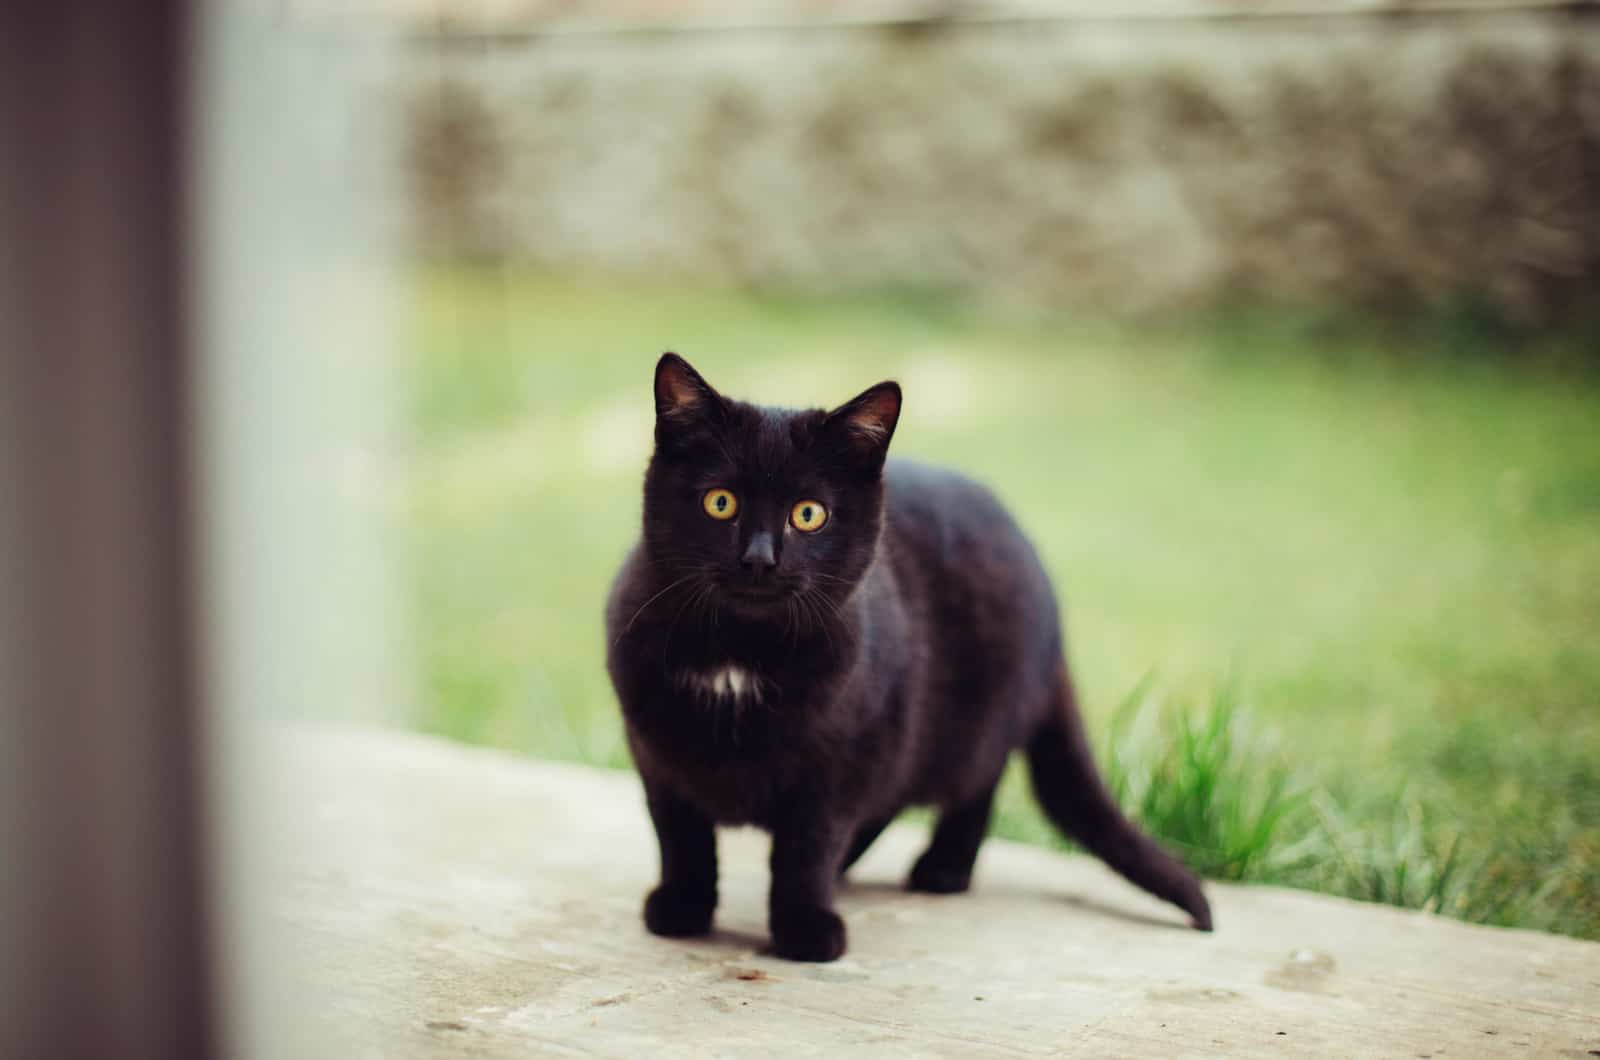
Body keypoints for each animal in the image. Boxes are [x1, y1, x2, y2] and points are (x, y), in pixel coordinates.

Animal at [604, 355, 1203, 960]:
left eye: (809, 514)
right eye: (720, 502)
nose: (759, 559)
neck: (740, 656)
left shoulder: (841, 754)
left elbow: (807, 845)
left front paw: (804, 928)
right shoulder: (657, 753)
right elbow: (680, 834)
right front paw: (683, 908)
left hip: (967, 722)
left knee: (976, 786)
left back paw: (943, 868)